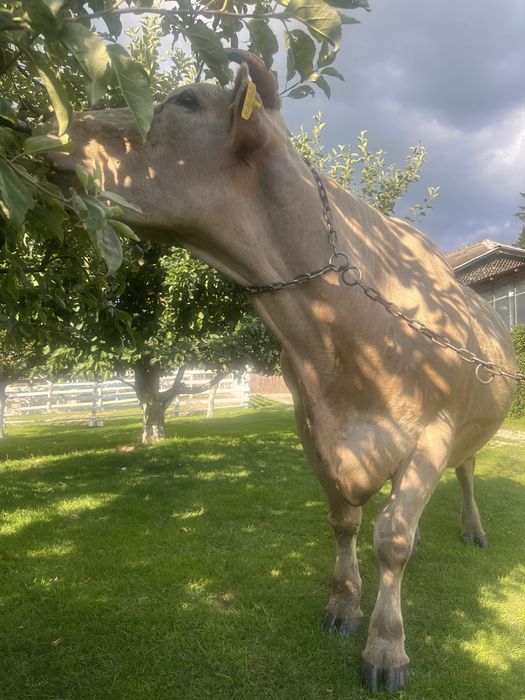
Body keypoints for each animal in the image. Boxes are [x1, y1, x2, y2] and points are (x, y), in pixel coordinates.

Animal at [49, 51, 517, 692]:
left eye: (186, 100)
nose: (56, 127)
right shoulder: (311, 425)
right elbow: (345, 521)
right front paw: (343, 606)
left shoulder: (434, 430)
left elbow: (393, 537)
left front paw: (386, 649)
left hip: (470, 421)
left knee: (466, 473)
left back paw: (473, 530)